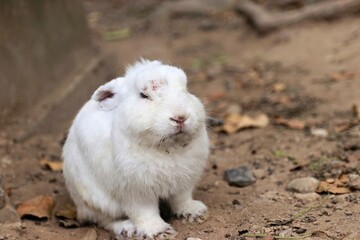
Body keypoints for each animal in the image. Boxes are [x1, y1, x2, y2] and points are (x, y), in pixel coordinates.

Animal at [62, 59, 208, 239]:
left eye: (186, 88)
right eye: (143, 96)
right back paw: (127, 229)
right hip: (97, 200)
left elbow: (181, 200)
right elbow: (144, 213)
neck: (167, 147)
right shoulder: (135, 192)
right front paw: (160, 232)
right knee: (104, 220)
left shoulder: (183, 184)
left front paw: (195, 212)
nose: (180, 117)